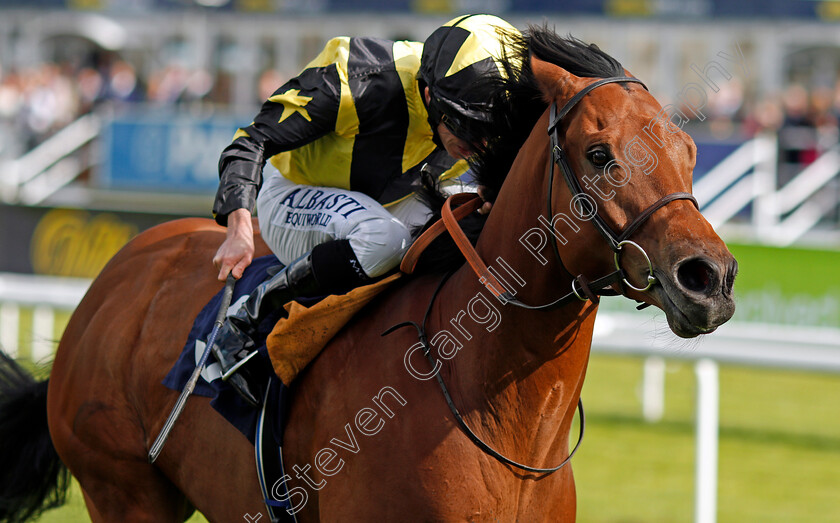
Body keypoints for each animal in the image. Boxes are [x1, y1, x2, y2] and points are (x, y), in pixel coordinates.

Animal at [0, 27, 736, 523]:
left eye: (689, 150)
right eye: (599, 152)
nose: (710, 277)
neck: (496, 410)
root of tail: (115, 278)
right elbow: (260, 133)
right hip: (123, 489)